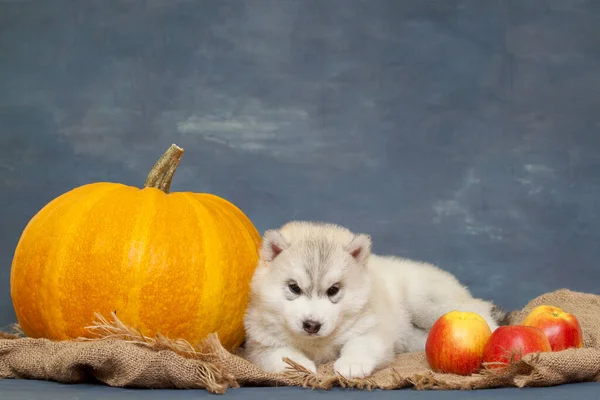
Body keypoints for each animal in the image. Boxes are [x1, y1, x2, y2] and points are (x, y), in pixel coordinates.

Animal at [241, 222, 504, 378]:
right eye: (294, 288)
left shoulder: (373, 329)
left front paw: (351, 363)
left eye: (333, 290)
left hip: (426, 301)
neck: (317, 344)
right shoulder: (262, 344)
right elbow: (280, 354)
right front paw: (298, 366)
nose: (312, 325)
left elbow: (361, 344)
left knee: (481, 313)